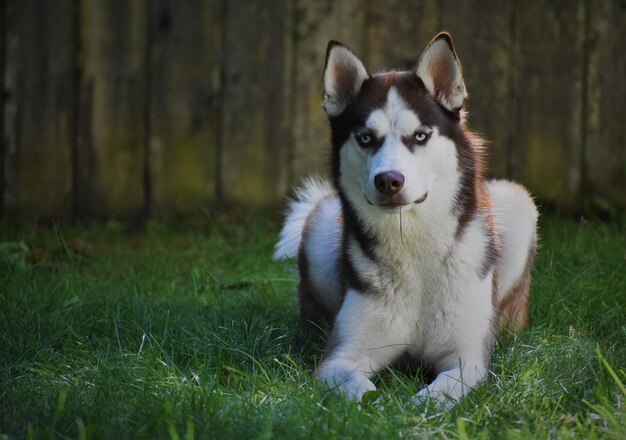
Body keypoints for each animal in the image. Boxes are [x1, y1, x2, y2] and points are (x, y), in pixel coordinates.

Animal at [272, 32, 536, 406]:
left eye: (421, 135)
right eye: (365, 138)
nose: (389, 181)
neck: (415, 250)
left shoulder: (467, 359)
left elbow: (440, 391)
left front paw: (419, 406)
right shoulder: (339, 358)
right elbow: (360, 389)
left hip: (518, 202)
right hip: (321, 220)